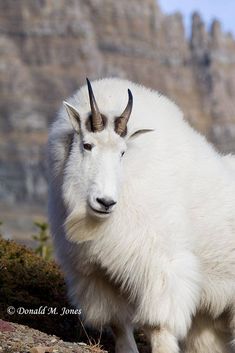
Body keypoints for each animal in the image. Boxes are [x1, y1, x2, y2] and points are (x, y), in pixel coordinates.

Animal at [48, 77, 235, 352]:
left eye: (123, 152)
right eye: (87, 145)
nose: (105, 202)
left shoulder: (161, 267)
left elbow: (158, 325)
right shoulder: (96, 274)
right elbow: (117, 321)